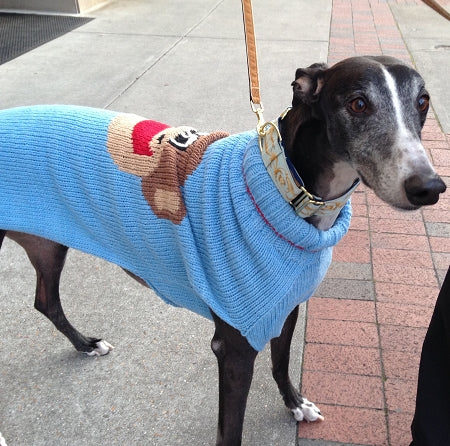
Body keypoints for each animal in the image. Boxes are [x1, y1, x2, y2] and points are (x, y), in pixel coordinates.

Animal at [0, 56, 444, 446]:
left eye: (423, 101)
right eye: (358, 103)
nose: (429, 187)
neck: (286, 187)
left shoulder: (286, 305)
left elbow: (280, 361)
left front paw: (295, 404)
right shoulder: (234, 344)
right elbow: (230, 429)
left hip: (47, 243)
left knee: (45, 300)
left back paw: (86, 345)